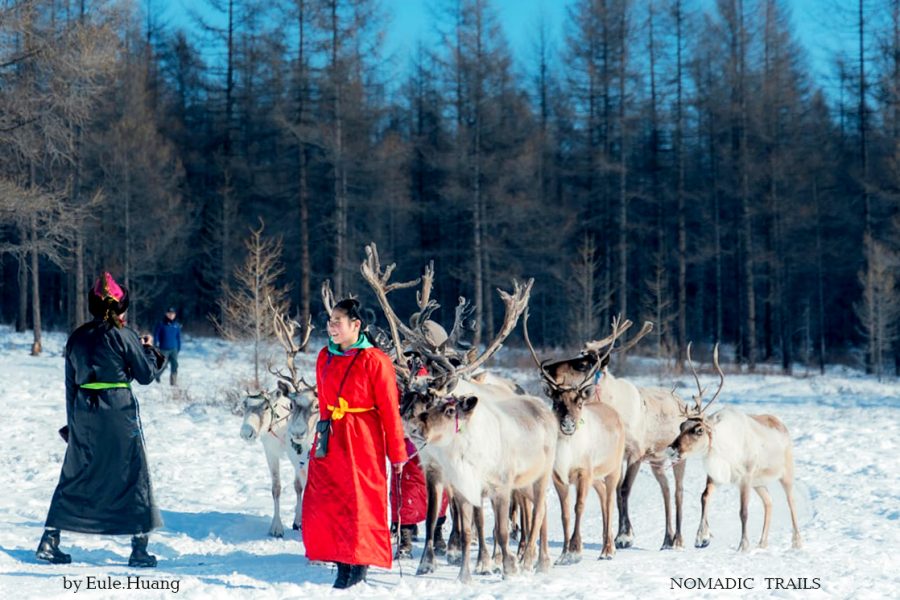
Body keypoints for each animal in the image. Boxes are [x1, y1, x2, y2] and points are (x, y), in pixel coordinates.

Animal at [238, 297, 316, 537]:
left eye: (265, 406)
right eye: (244, 405)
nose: (246, 432)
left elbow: (300, 486)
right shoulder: (272, 451)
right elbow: (277, 488)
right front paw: (277, 527)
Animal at [523, 310, 626, 563]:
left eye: (579, 402)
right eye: (556, 402)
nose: (568, 424)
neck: (568, 452)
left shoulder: (583, 471)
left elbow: (579, 506)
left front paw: (576, 549)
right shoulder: (559, 476)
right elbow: (565, 512)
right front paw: (563, 553)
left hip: (613, 467)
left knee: (610, 500)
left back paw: (608, 549)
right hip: (596, 475)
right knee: (602, 496)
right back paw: (606, 546)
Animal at [667, 343, 803, 552]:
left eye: (698, 429)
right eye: (681, 426)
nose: (672, 449)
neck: (723, 447)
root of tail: (782, 426)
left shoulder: (745, 477)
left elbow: (743, 511)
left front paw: (743, 545)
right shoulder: (715, 474)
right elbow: (704, 497)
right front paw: (701, 538)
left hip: (785, 472)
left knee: (791, 501)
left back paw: (797, 541)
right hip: (759, 481)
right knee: (769, 501)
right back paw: (762, 542)